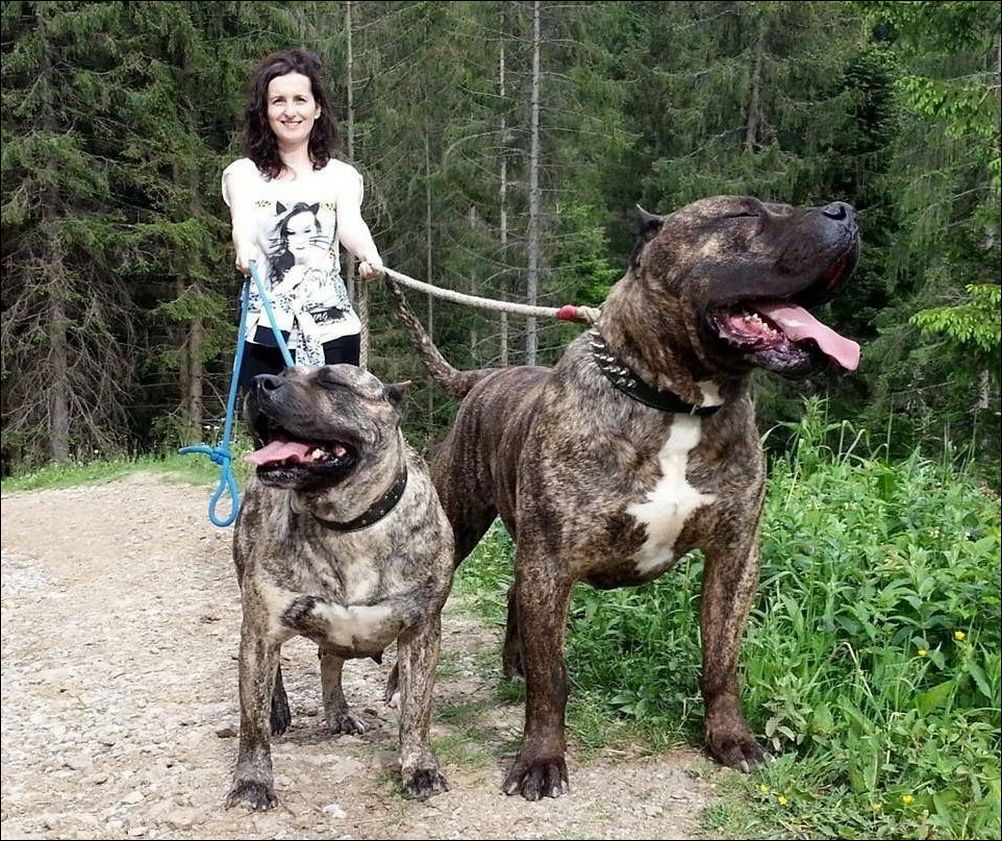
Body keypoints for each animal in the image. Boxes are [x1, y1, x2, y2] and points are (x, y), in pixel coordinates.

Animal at [226, 364, 454, 810]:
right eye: (282, 371)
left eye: (331, 381)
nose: (259, 382)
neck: (347, 524)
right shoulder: (260, 632)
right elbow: (251, 723)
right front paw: (252, 781)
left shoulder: (421, 632)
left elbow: (417, 710)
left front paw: (418, 766)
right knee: (276, 680)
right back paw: (280, 710)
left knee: (330, 663)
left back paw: (339, 713)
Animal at [387, 196, 861, 800]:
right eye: (742, 216)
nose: (844, 210)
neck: (678, 404)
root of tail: (483, 378)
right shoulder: (552, 562)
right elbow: (552, 681)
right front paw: (540, 760)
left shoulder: (735, 556)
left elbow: (722, 661)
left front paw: (730, 739)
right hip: (460, 524)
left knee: (514, 596)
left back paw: (514, 665)